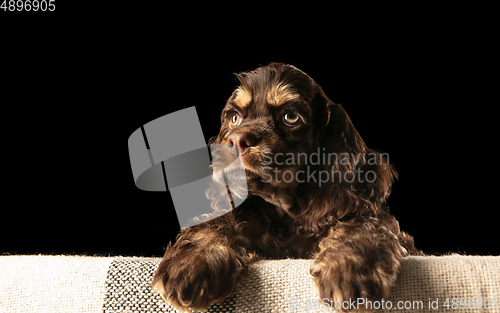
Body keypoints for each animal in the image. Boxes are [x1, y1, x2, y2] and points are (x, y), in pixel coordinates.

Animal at [152, 62, 422, 310]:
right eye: (234, 118)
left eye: (290, 117)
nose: (236, 140)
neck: (285, 210)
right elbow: (214, 223)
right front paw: (190, 264)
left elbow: (365, 224)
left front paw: (350, 270)